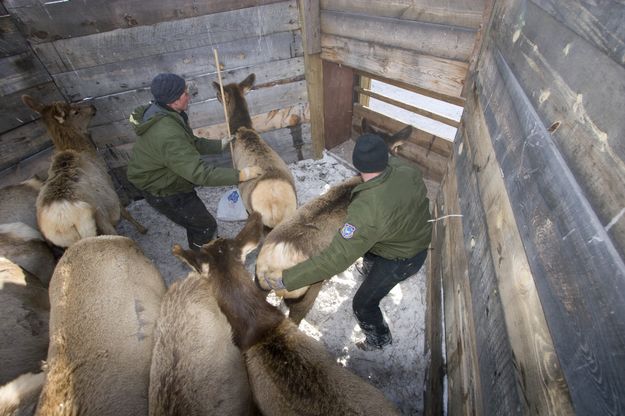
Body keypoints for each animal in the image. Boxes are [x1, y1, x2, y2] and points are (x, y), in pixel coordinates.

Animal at [19, 96, 147, 247]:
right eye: (75, 111)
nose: (92, 107)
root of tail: (64, 222)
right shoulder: (108, 185)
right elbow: (125, 212)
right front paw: (143, 229)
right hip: (98, 219)